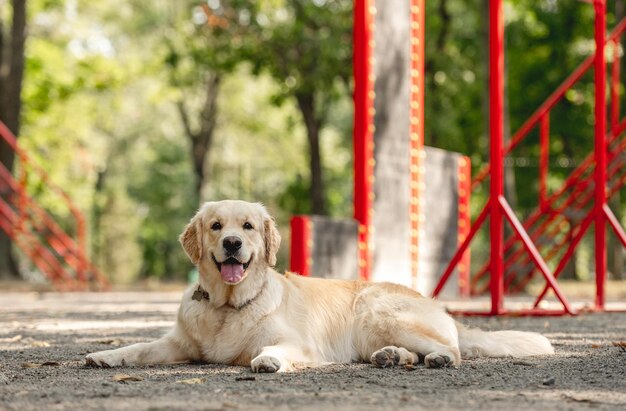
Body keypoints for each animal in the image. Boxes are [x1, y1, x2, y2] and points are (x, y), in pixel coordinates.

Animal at [86, 201, 552, 372]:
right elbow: (141, 347)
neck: (227, 305)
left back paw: (435, 358)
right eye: (216, 226)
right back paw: (392, 357)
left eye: (248, 227)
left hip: (375, 309)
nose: (232, 244)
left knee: (452, 350)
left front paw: (268, 361)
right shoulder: (179, 344)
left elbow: (274, 350)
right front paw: (105, 355)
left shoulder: (300, 344)